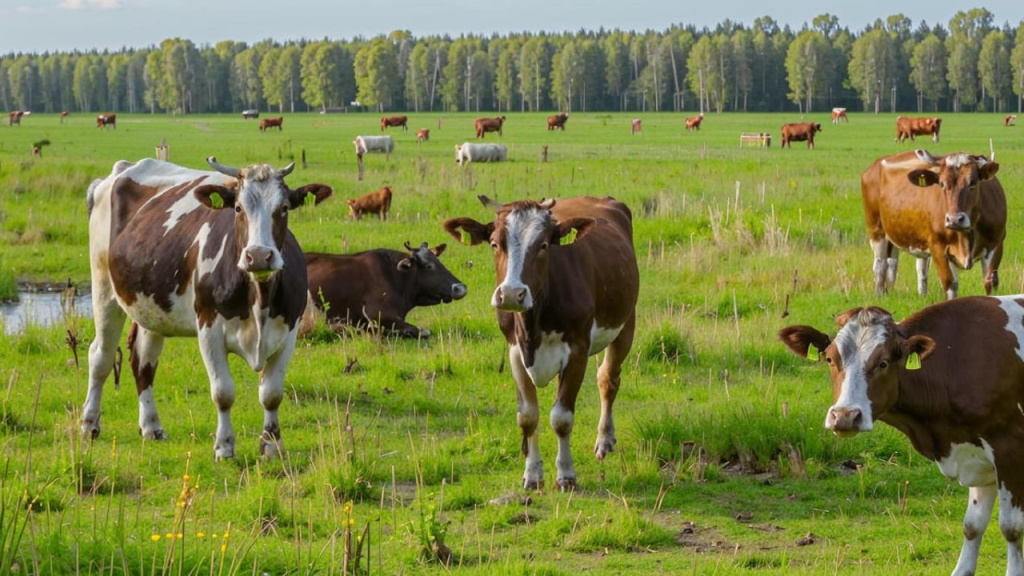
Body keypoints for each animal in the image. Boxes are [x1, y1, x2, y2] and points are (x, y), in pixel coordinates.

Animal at [84, 153, 331, 457]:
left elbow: (271, 393)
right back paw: (89, 425)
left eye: (284, 208)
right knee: (101, 356)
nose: (259, 256)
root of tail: (124, 167)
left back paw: (152, 427)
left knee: (143, 361)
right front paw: (224, 447)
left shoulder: (290, 332)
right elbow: (223, 392)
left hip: (151, 305)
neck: (259, 299)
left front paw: (271, 446)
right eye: (237, 208)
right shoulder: (208, 329)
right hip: (104, 288)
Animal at [442, 194, 634, 485]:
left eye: (543, 245)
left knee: (607, 379)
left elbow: (562, 417)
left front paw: (566, 473)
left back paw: (604, 439)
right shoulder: (515, 352)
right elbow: (528, 417)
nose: (512, 294)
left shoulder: (577, 350)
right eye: (495, 244)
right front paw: (532, 473)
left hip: (626, 323)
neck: (534, 322)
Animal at [778, 295, 1024, 573]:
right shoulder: (976, 456)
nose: (844, 416)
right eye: (830, 359)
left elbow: (1011, 527)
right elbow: (973, 526)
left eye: (883, 363)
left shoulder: (1008, 448)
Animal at [860, 146, 1003, 301]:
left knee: (899, 266)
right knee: (880, 266)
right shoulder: (939, 248)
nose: (954, 219)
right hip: (876, 230)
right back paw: (880, 296)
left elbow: (990, 283)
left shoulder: (996, 246)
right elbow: (950, 285)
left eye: (973, 182)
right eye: (942, 184)